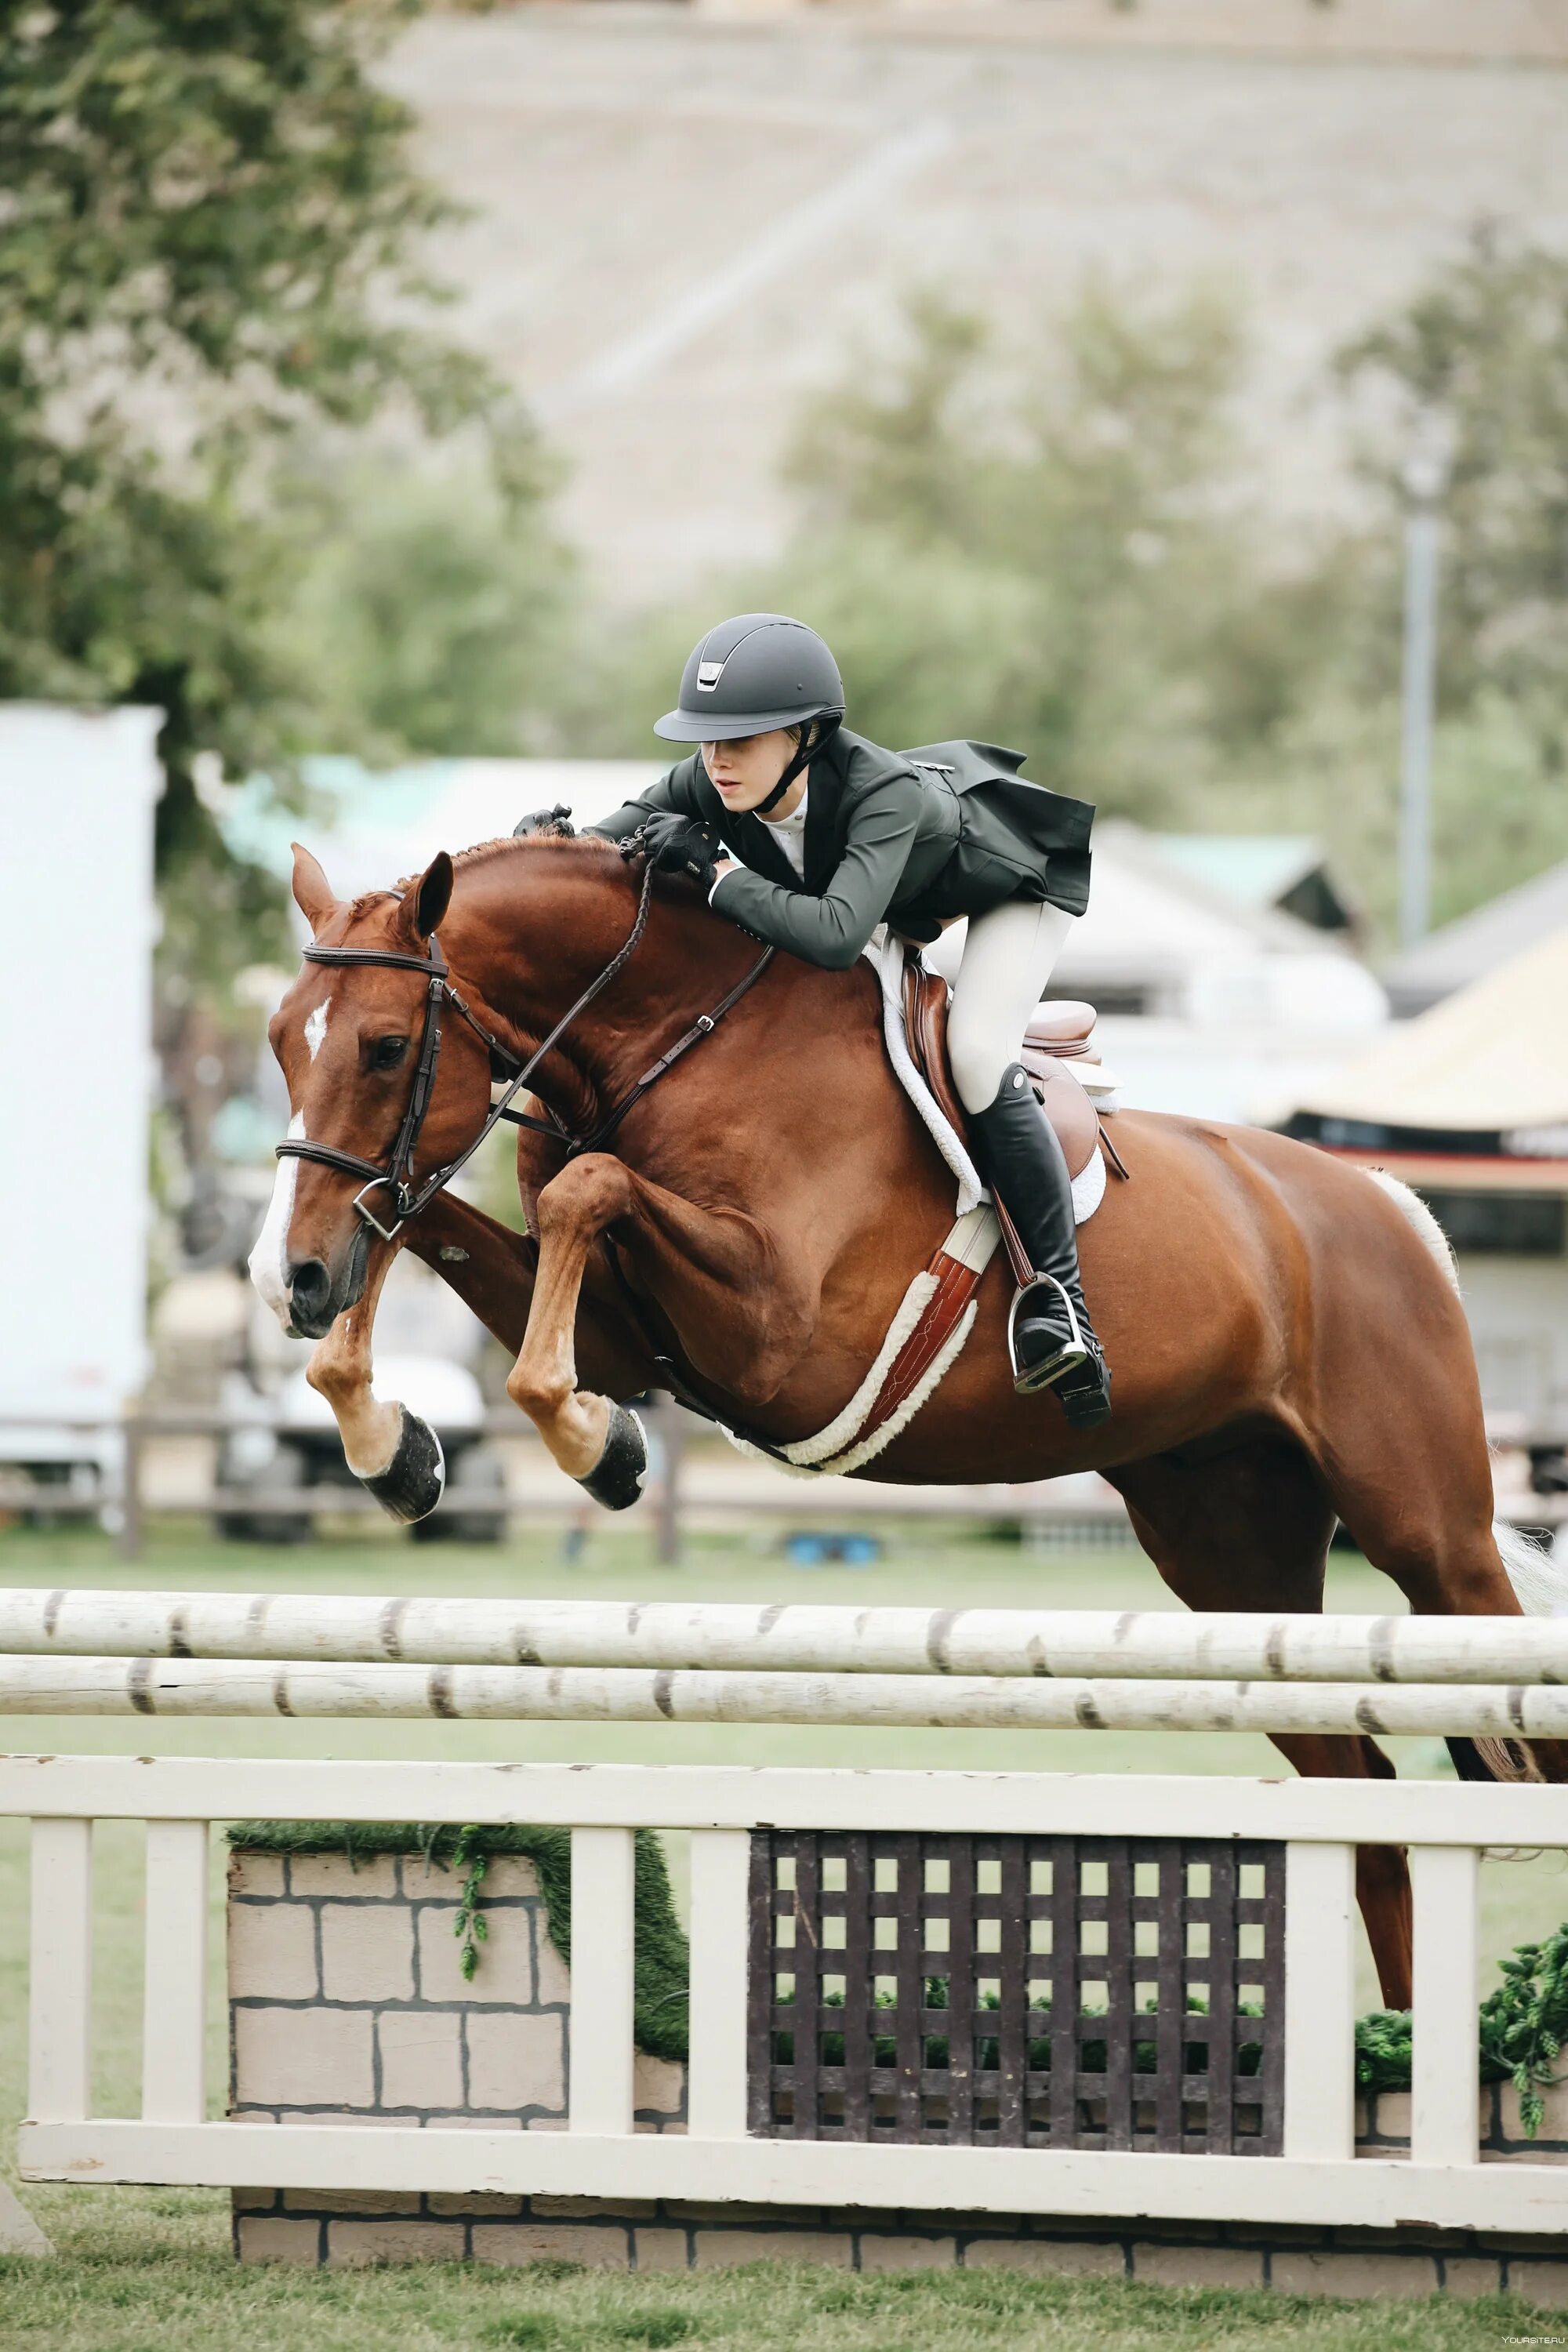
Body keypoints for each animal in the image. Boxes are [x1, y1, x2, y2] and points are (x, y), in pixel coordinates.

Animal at [251, 828, 1561, 2004]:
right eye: (278, 1039)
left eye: (384, 1047)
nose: (290, 1280)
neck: (677, 1040)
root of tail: (1395, 1206)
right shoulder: (630, 1335)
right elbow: (418, 1214)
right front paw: (394, 1446)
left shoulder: (781, 1339)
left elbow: (583, 1197)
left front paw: (594, 1446)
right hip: (1234, 1561)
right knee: (1368, 1803)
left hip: (1431, 1541)